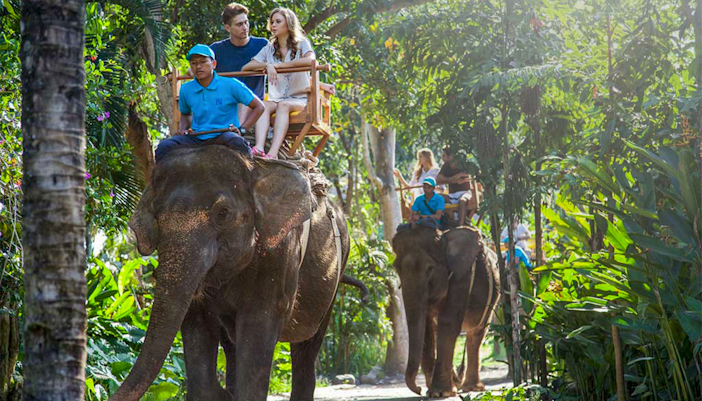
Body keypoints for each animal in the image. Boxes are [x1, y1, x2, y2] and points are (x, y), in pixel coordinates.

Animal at [109, 145, 352, 401]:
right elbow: (196, 323)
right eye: (156, 214)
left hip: (334, 277)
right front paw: (223, 394)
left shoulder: (280, 254)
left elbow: (259, 326)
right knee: (233, 344)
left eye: (223, 213)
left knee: (306, 347)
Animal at [392, 226, 500, 397]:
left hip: (494, 294)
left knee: (476, 332)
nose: (418, 389)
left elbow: (448, 322)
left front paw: (440, 393)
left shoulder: (462, 276)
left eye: (430, 268)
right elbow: (427, 327)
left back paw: (472, 387)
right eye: (396, 268)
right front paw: (434, 390)